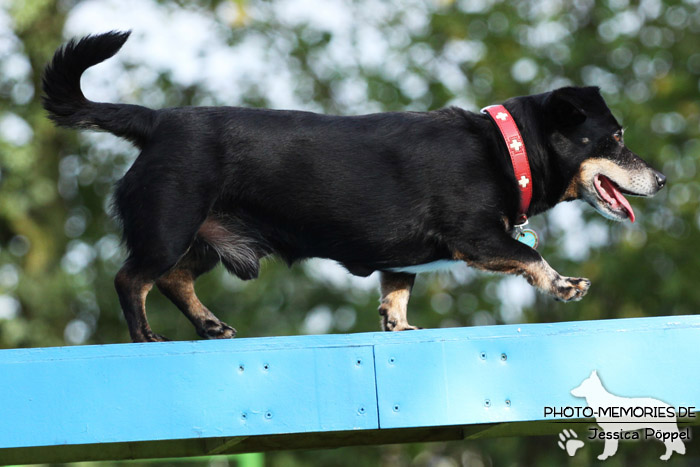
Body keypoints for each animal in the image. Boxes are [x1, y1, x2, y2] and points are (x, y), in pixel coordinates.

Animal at [41, 31, 664, 342]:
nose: (661, 178)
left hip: (204, 240)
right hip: (169, 226)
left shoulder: (402, 264)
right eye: (616, 137)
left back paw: (210, 324)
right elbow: (528, 256)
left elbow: (396, 298)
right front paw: (564, 283)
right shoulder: (477, 239)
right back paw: (146, 337)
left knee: (171, 279)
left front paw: (401, 328)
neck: (505, 150)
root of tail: (156, 121)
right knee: (131, 280)